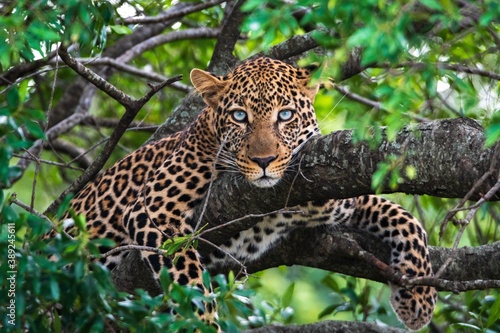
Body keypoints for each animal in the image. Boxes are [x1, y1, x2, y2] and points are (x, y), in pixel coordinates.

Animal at [64, 57, 436, 330]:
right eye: (239, 116)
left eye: (285, 115)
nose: (264, 160)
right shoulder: (153, 207)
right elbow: (189, 280)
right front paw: (203, 325)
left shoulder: (330, 196)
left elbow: (404, 217)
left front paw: (418, 298)